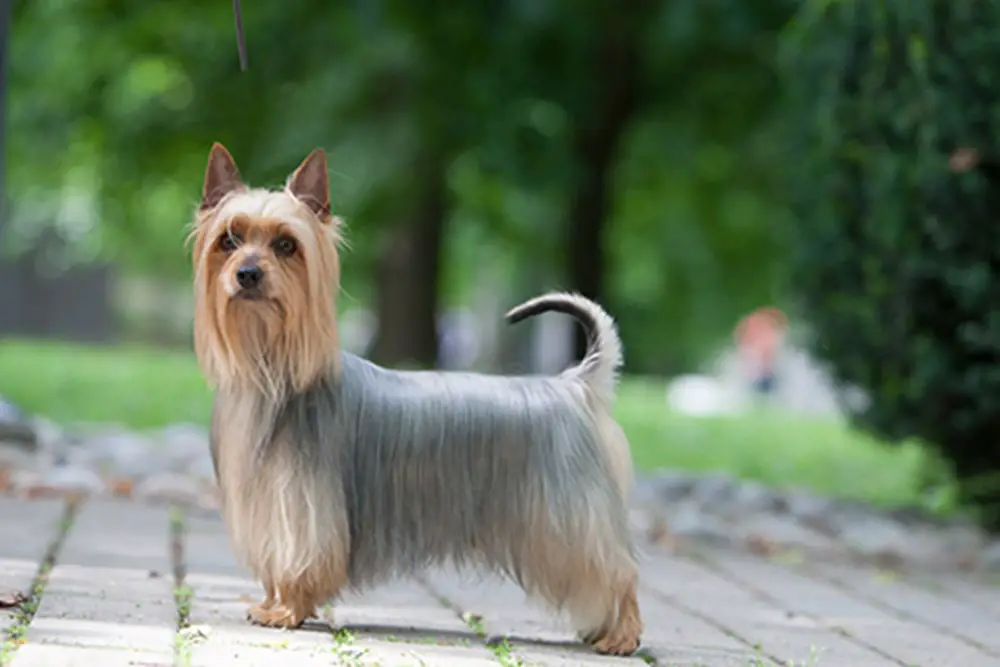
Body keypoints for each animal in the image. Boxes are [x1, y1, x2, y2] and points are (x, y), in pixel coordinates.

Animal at [191, 144, 644, 656]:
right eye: (229, 240)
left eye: (286, 245)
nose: (248, 273)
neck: (271, 367)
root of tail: (573, 384)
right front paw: (271, 604)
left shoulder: (302, 511)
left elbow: (300, 559)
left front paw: (285, 609)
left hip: (569, 519)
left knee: (616, 571)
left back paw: (621, 636)